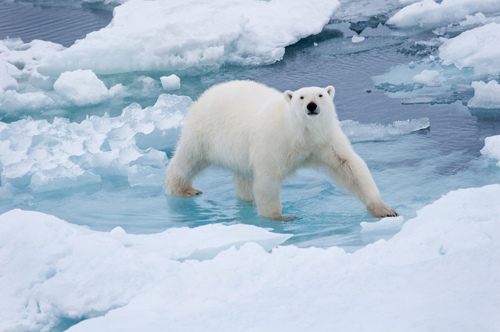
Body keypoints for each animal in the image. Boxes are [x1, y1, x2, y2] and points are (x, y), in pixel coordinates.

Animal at [167, 80, 398, 219]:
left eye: (320, 95)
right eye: (301, 97)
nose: (312, 106)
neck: (300, 132)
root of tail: (208, 92)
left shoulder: (325, 140)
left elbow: (349, 167)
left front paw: (384, 209)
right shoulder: (274, 141)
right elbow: (267, 179)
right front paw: (280, 217)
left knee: (243, 177)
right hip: (203, 132)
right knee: (188, 159)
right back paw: (183, 188)